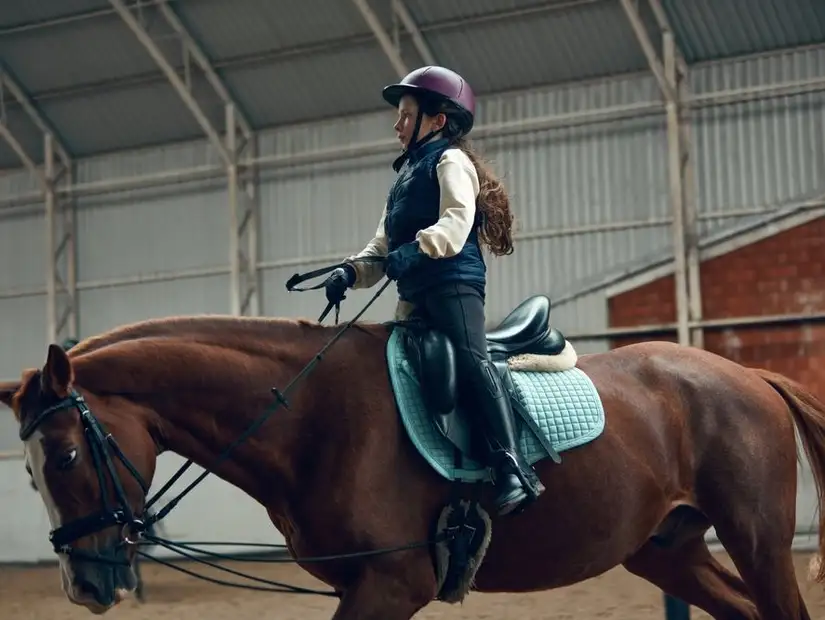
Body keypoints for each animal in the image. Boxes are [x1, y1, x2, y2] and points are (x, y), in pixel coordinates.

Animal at [1, 294, 824, 616]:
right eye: (30, 476)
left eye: (65, 458)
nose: (87, 587)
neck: (311, 416)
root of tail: (748, 375)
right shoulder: (363, 587)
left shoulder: (392, 585)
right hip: (666, 551)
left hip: (756, 539)